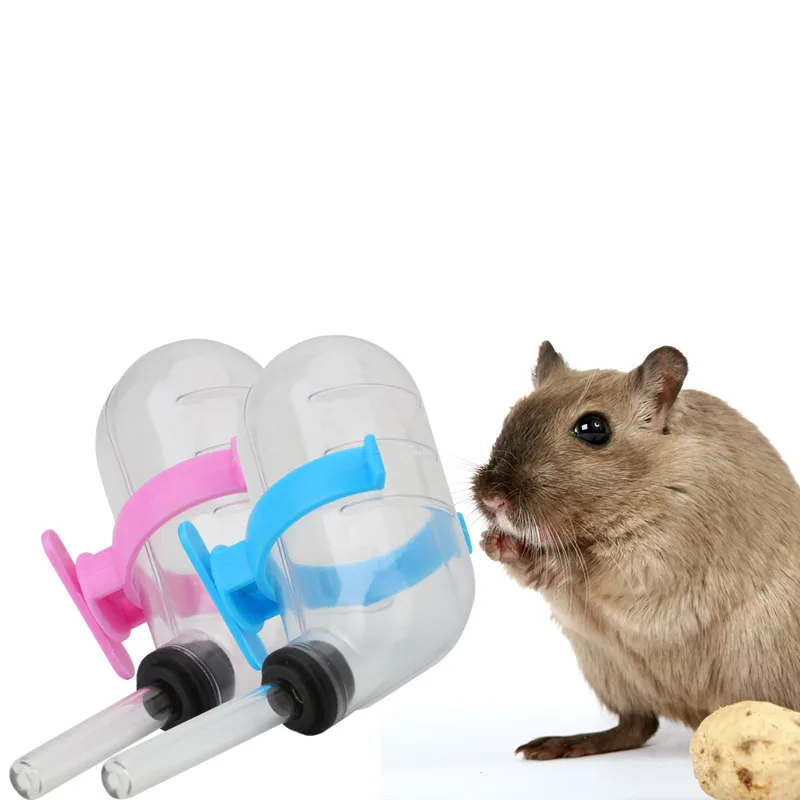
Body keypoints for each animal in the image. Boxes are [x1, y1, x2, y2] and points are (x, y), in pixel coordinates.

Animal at [472, 342, 800, 760]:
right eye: (512, 413)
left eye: (593, 428)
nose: (492, 498)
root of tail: (696, 714)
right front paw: (494, 542)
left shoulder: (664, 549)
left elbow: (595, 566)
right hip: (610, 673)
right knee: (637, 726)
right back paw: (554, 745)